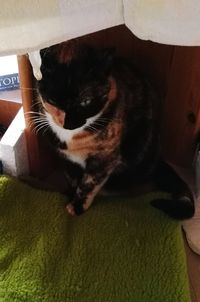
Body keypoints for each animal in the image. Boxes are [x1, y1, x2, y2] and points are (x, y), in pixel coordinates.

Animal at [34, 40, 195, 218]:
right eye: (53, 100)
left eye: (85, 101)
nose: (69, 124)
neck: (71, 140)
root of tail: (159, 160)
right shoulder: (66, 158)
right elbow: (72, 179)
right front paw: (70, 195)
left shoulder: (105, 158)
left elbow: (88, 184)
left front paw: (76, 207)